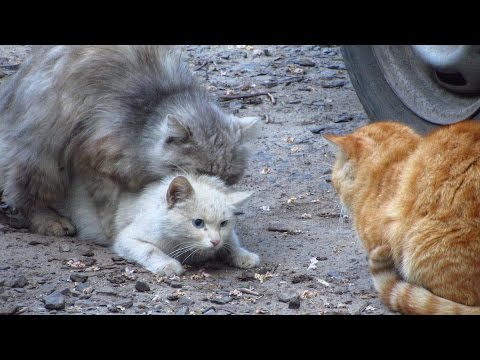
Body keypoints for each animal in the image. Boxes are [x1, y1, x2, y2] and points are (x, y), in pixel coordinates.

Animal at [0, 45, 258, 236]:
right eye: (202, 172)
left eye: (229, 177)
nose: (218, 189)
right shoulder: (91, 154)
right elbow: (107, 202)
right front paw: (111, 228)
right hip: (43, 155)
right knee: (26, 194)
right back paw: (50, 220)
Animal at [62, 173, 262, 274]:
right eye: (198, 223)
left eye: (223, 223)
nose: (215, 241)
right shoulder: (126, 238)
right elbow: (150, 249)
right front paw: (168, 264)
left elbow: (231, 240)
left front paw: (242, 254)